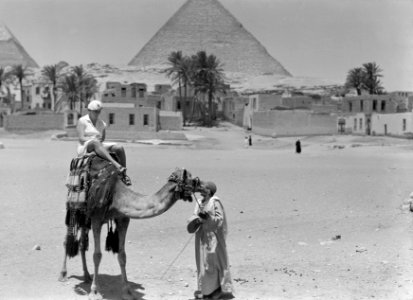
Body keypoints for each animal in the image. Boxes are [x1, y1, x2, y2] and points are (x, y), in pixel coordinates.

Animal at [59, 157, 201, 300]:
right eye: (194, 180)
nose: (204, 186)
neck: (116, 195)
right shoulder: (96, 219)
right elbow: (97, 255)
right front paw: (94, 292)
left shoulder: (123, 219)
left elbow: (122, 255)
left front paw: (127, 291)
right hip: (75, 210)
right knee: (67, 240)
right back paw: (63, 274)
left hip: (85, 218)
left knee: (82, 243)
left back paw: (87, 275)